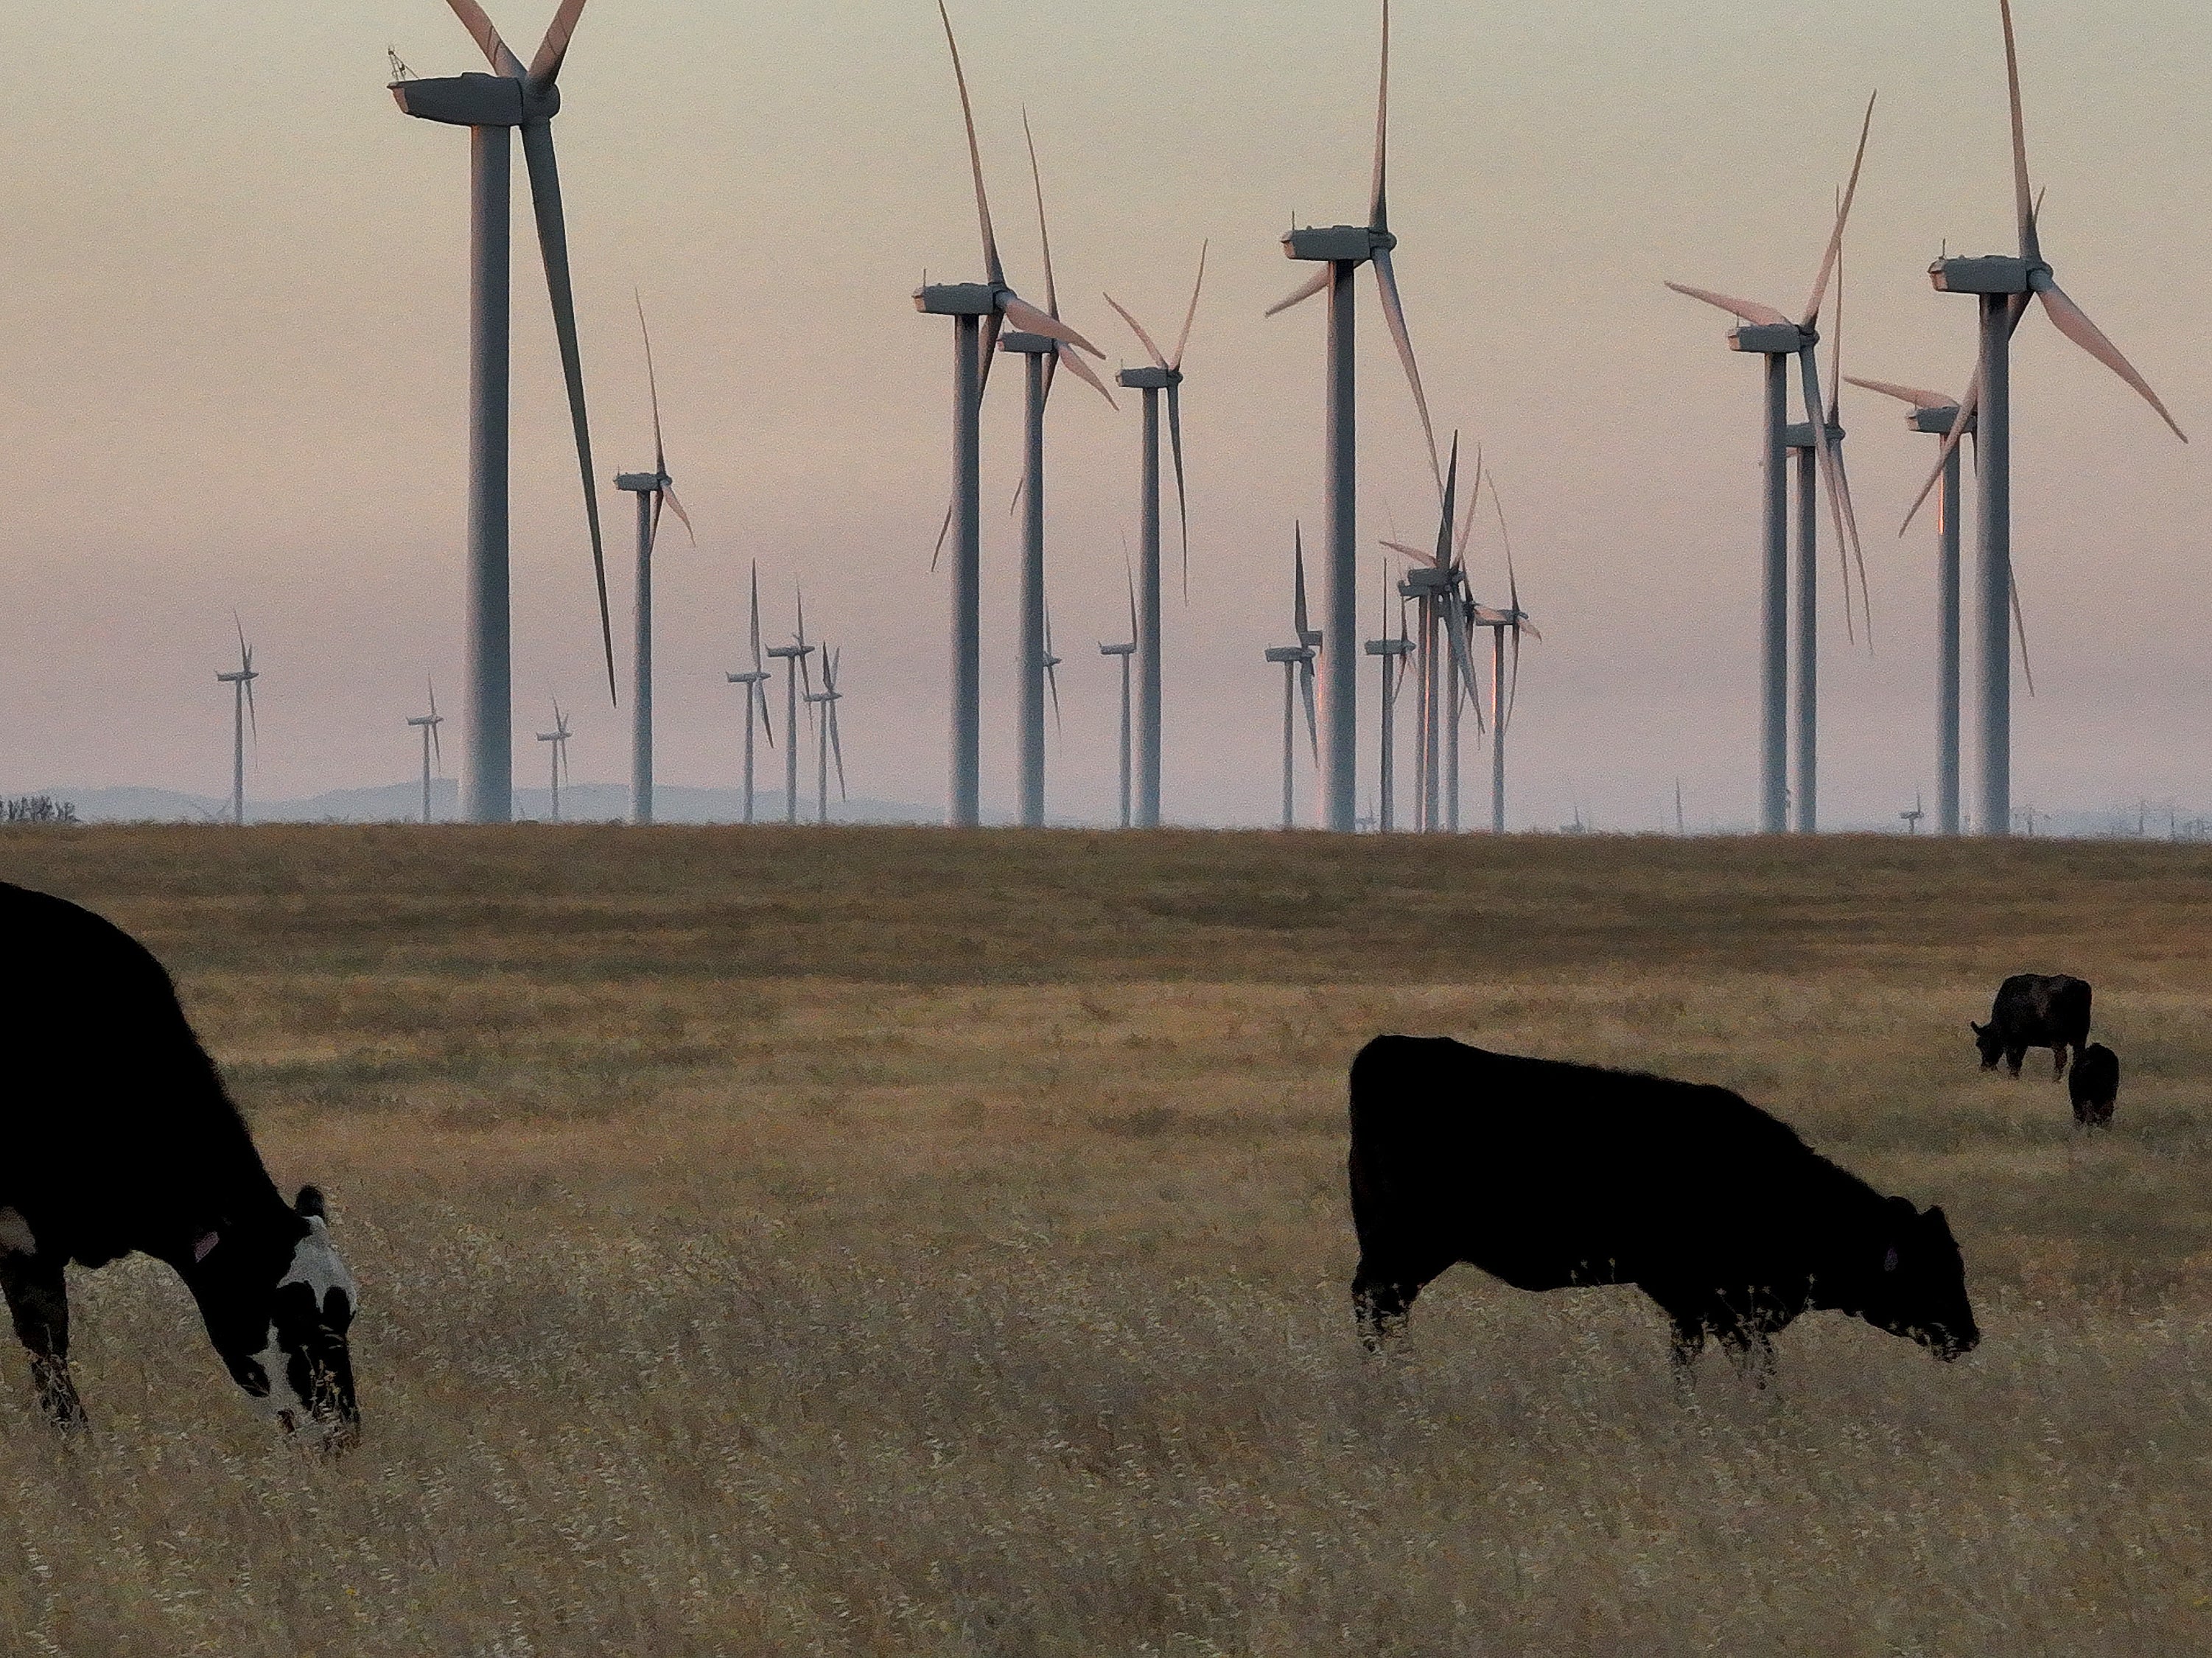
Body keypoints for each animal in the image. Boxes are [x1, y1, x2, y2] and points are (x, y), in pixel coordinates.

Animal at [1345, 1039, 1990, 1379]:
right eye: (1930, 1271)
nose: (1969, 1334)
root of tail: (1389, 1049)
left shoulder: (1696, 1308)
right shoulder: (1722, 1307)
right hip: (1408, 1248)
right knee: (1378, 1308)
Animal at [1973, 982, 2087, 1083]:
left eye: (1982, 1045)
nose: (1984, 1068)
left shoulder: (2013, 1042)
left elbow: (2013, 1059)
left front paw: (2013, 1076)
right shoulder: (2023, 1043)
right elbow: (2019, 1060)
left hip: (2058, 1040)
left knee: (2061, 1057)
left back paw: (2055, 1079)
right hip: (2080, 1038)